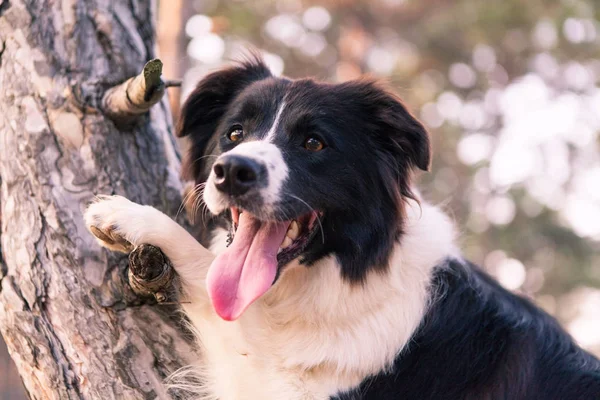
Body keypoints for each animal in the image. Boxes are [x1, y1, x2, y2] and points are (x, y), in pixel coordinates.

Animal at [84, 57, 600, 400]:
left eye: (314, 143)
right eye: (234, 134)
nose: (231, 172)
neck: (345, 270)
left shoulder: (280, 381)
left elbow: (206, 276)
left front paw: (128, 215)